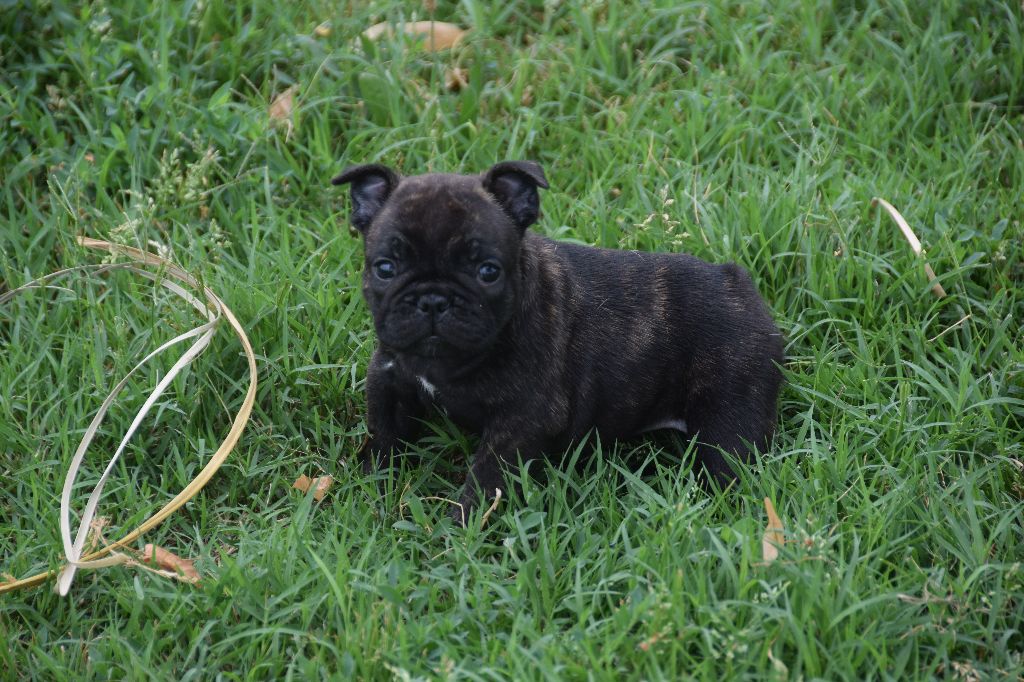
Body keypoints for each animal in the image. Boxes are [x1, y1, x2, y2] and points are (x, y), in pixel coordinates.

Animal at [333, 161, 782, 522]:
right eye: (385, 268)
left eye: (488, 271)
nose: (433, 300)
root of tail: (736, 283)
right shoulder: (389, 379)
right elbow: (384, 437)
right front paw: (373, 488)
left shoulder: (522, 420)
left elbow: (486, 479)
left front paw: (462, 527)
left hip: (729, 411)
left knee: (728, 462)